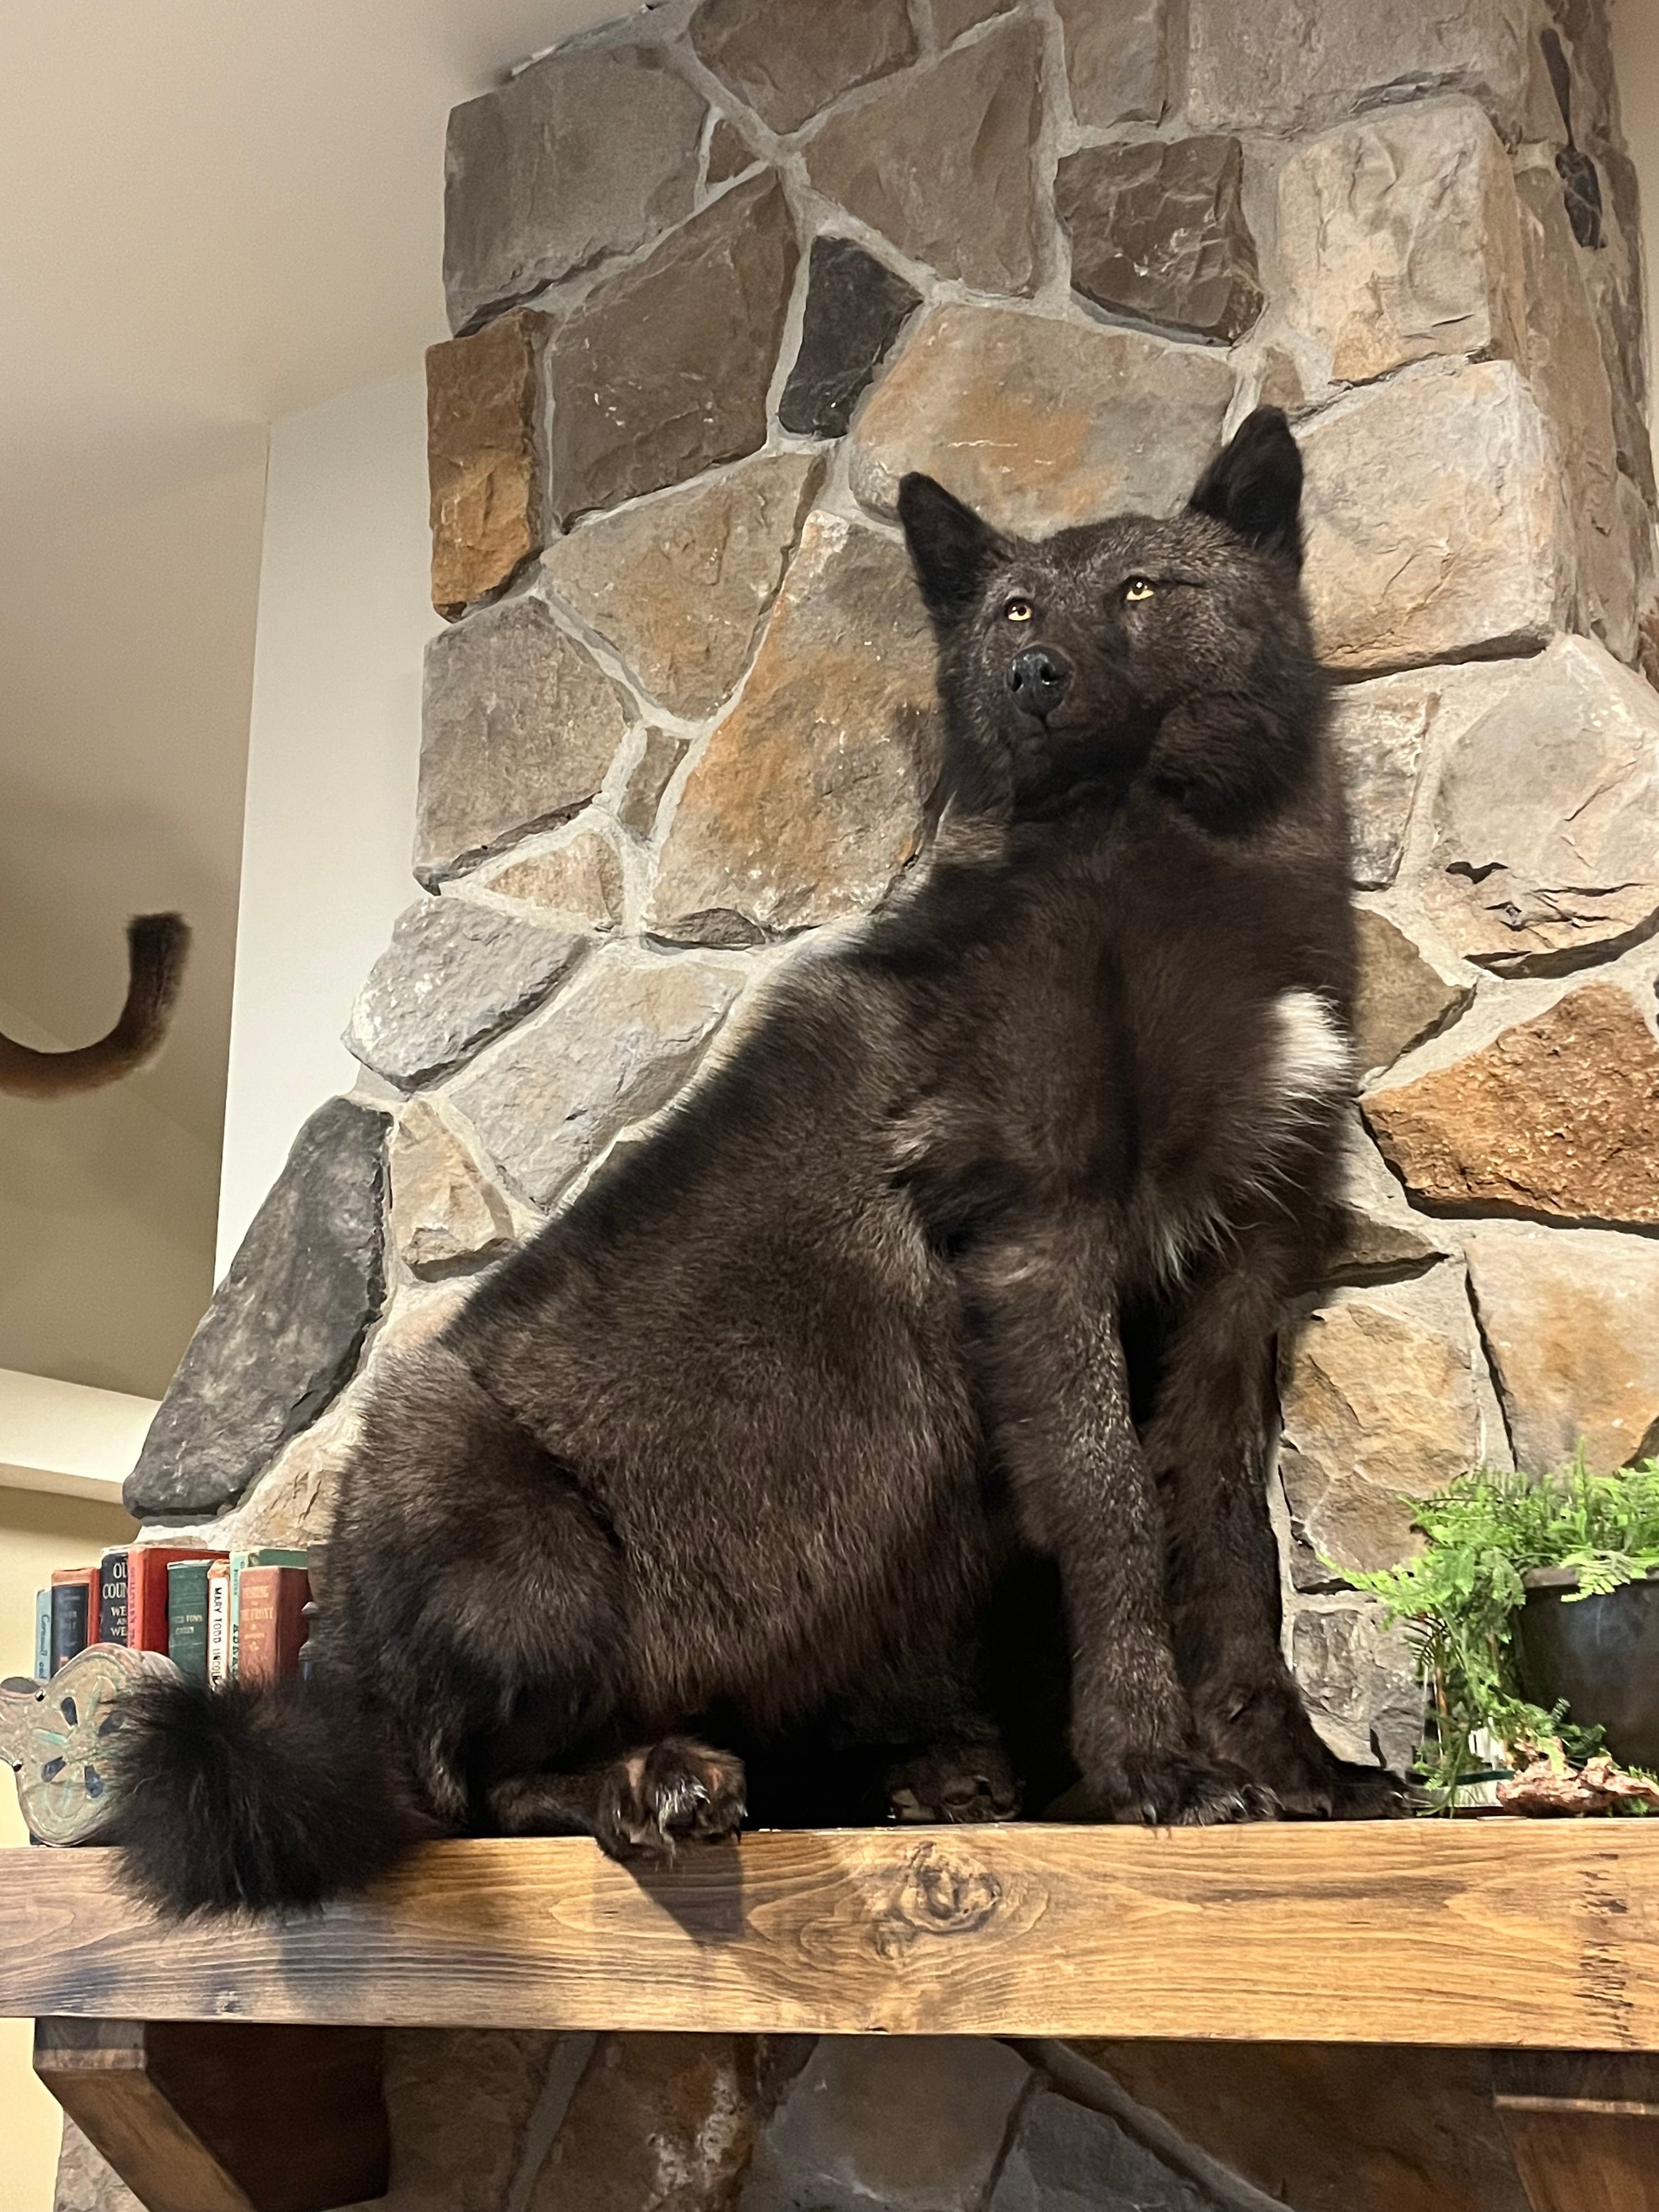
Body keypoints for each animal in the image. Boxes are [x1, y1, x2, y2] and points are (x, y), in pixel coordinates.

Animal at [111, 409, 1404, 1914]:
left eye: (1142, 590)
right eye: (1018, 610)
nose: (1028, 678)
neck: (1176, 874)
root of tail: (341, 1658)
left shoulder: (1238, 1283)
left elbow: (1235, 1549)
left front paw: (1300, 1778)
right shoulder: (1046, 1248)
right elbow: (1116, 1520)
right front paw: (1155, 1772)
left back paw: (921, 1779)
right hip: (529, 1557)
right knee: (469, 1800)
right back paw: (647, 1785)